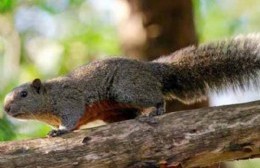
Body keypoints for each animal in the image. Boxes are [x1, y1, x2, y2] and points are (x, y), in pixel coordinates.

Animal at [3, 34, 260, 136]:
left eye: (23, 94)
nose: (5, 108)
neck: (48, 100)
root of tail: (151, 69)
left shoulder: (69, 100)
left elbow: (71, 116)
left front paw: (61, 130)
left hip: (127, 90)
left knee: (157, 97)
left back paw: (156, 110)